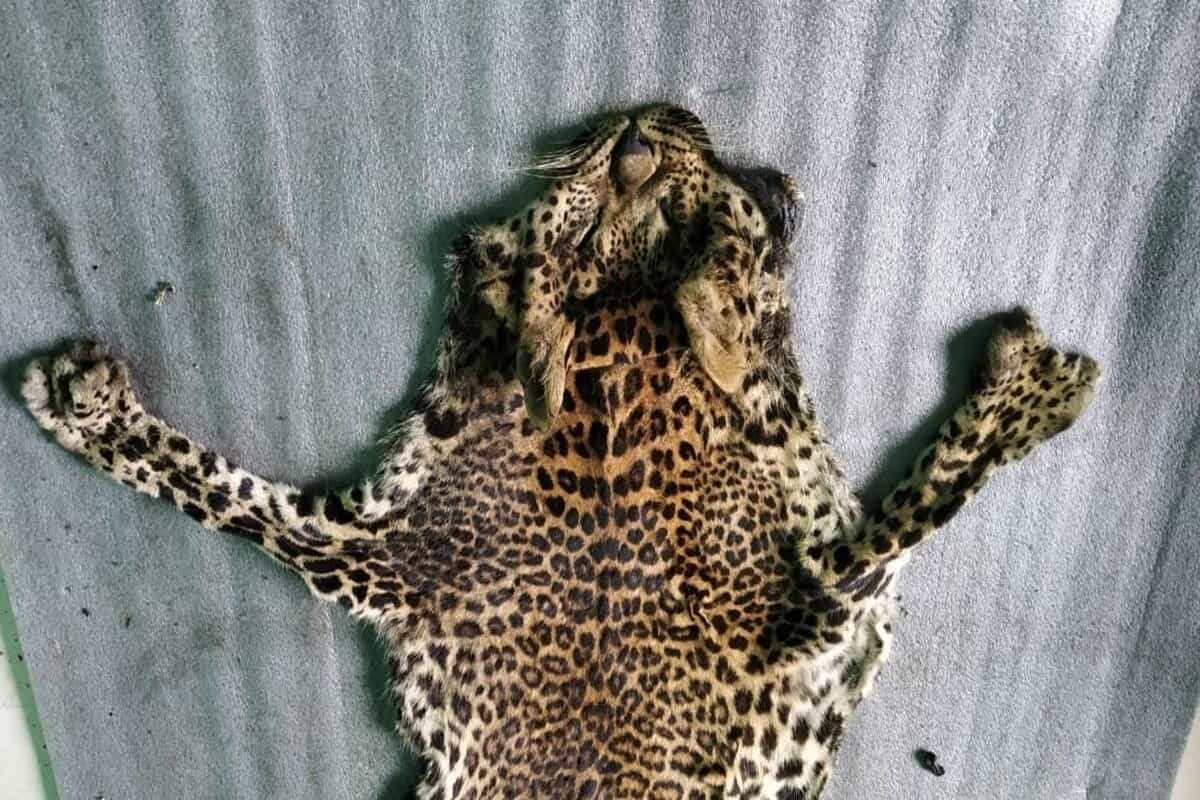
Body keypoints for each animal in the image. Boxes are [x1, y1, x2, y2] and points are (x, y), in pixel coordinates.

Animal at [22, 105, 1099, 799]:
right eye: (578, 203)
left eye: (732, 211)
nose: (643, 132)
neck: (623, 343)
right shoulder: (826, 586)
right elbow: (228, 496)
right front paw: (1037, 387)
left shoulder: (388, 551)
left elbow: (246, 506)